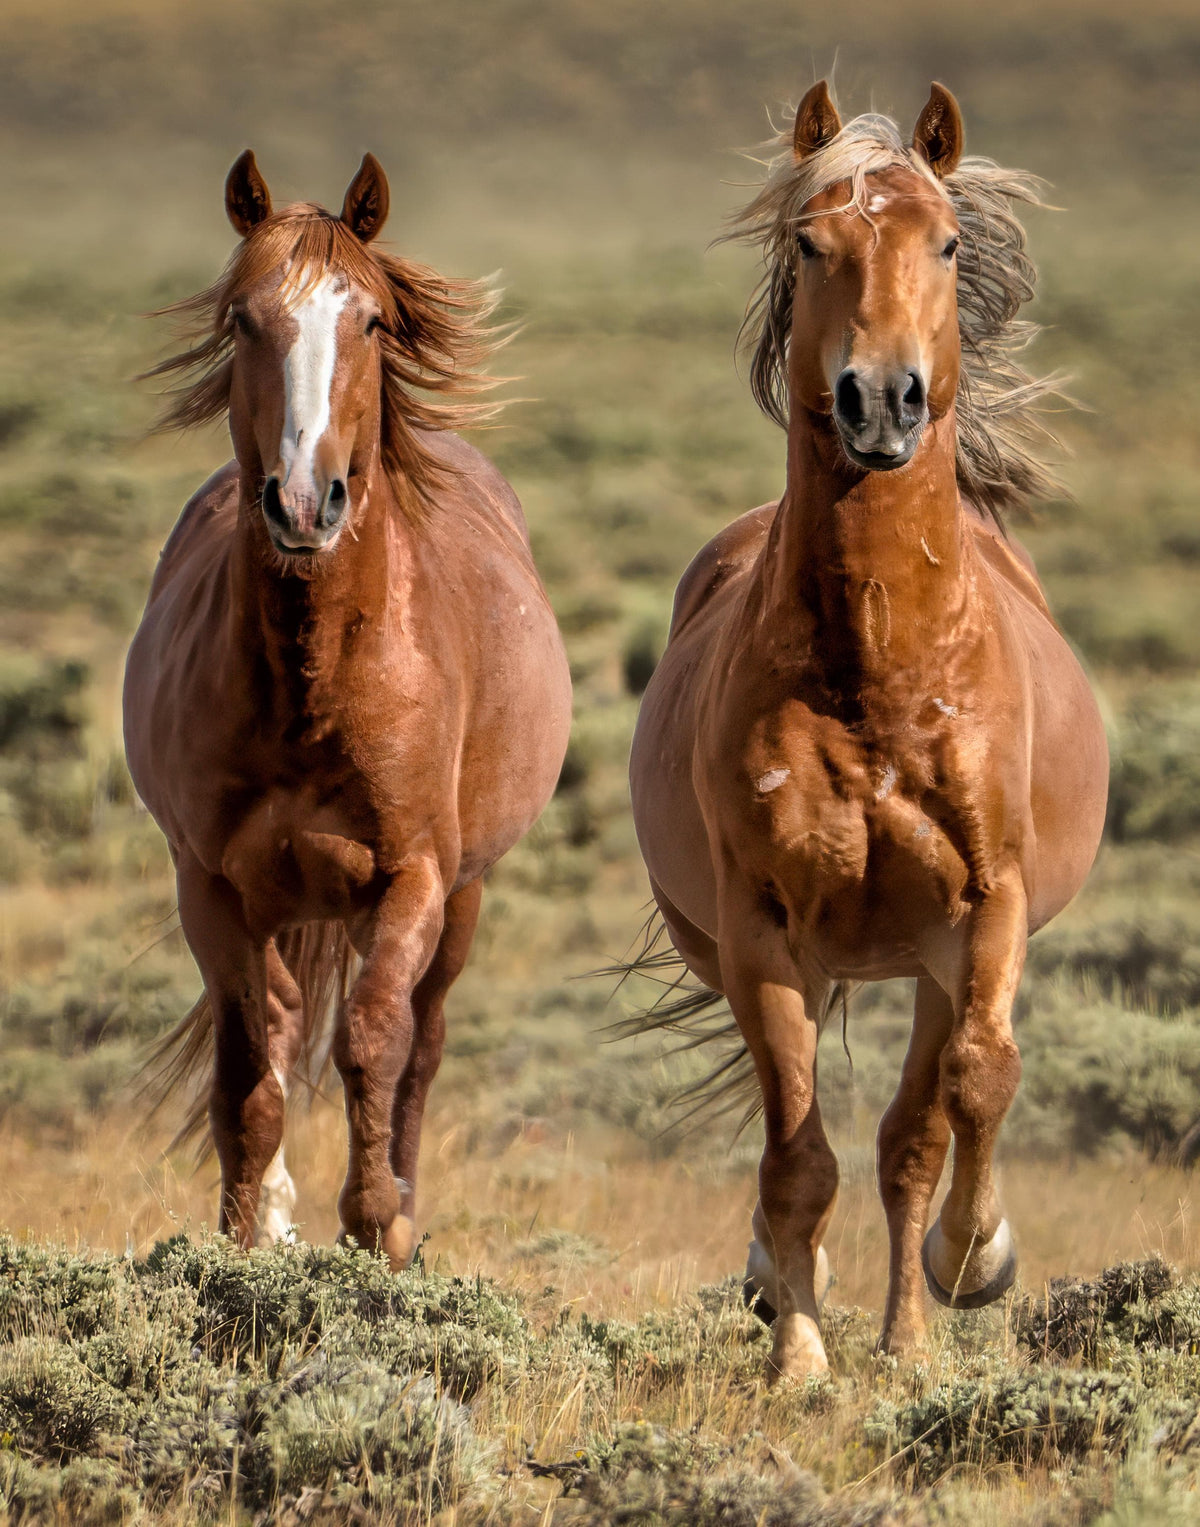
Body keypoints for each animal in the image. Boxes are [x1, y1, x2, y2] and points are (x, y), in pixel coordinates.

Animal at [124, 151, 571, 1267]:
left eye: (370, 320)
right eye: (244, 319)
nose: (302, 499)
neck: (316, 679)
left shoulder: (413, 877)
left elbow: (376, 1039)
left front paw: (377, 1223)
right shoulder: (211, 887)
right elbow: (249, 1067)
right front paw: (245, 1238)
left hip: (464, 897)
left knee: (423, 1041)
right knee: (282, 1026)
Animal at [627, 83, 1108, 1382]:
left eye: (944, 242)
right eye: (810, 242)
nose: (880, 401)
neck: (882, 670)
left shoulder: (985, 910)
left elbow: (970, 1094)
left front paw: (969, 1270)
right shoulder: (762, 933)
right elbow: (798, 1154)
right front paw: (798, 1357)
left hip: (934, 963)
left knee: (913, 1133)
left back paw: (914, 1318)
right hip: (743, 951)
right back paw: (783, 1289)